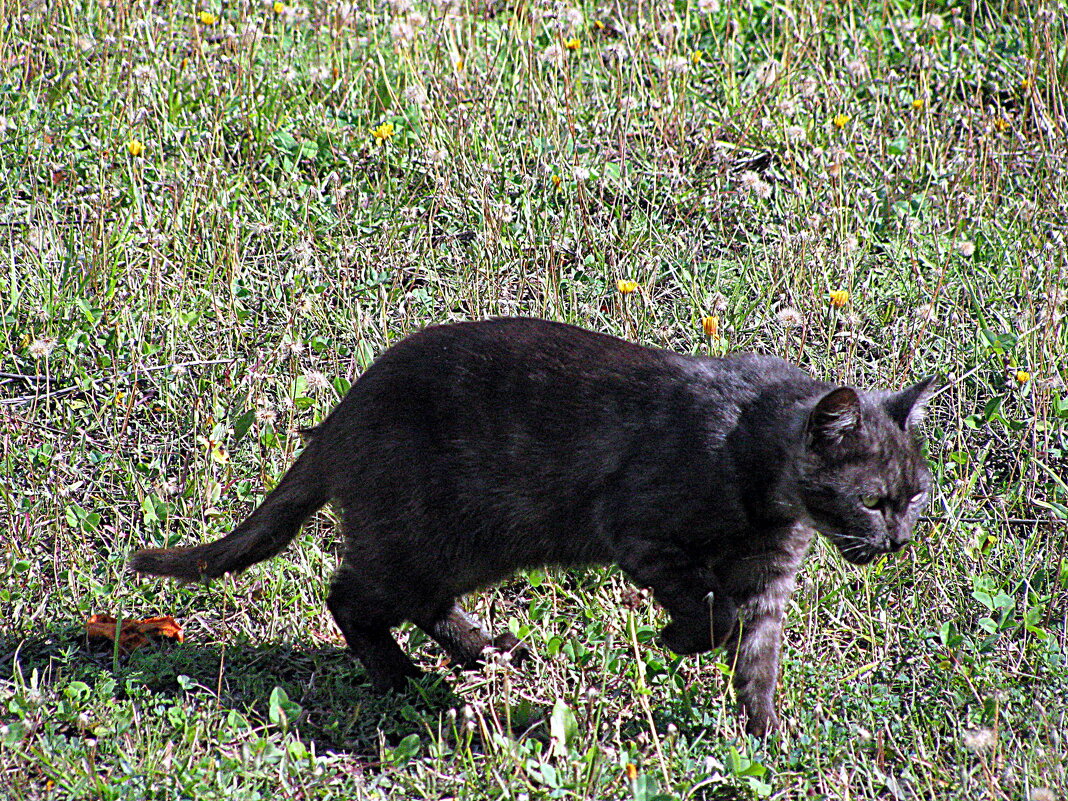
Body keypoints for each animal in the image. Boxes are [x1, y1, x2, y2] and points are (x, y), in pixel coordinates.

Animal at [131, 316, 935, 739]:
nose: (896, 541)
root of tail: (340, 415)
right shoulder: (638, 531)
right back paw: (402, 679)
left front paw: (765, 735)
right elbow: (709, 609)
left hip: (470, 547)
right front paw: (675, 640)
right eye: (871, 500)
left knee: (416, 603)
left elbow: (756, 659)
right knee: (350, 596)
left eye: (915, 497)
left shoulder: (768, 584)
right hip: (428, 539)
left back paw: (486, 651)